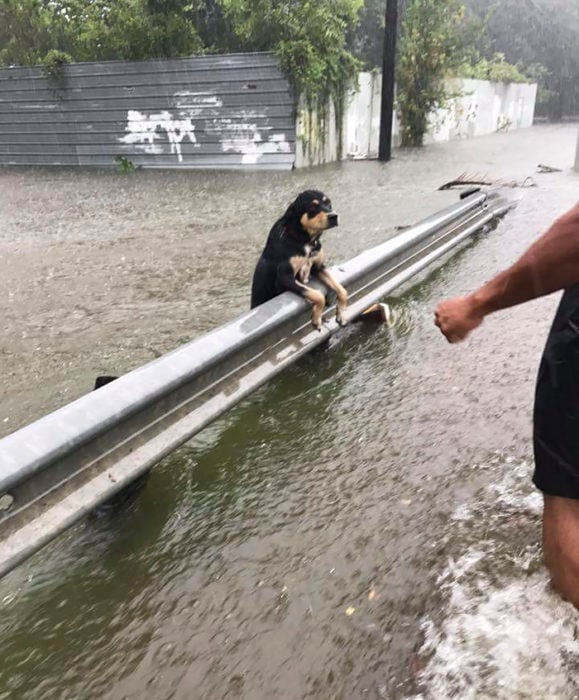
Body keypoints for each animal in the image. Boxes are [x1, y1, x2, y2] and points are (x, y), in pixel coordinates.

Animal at [250, 190, 348, 330]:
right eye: (313, 207)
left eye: (328, 203)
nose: (334, 216)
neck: (304, 240)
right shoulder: (284, 278)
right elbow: (318, 295)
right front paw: (316, 319)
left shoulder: (319, 267)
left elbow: (342, 289)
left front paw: (341, 313)